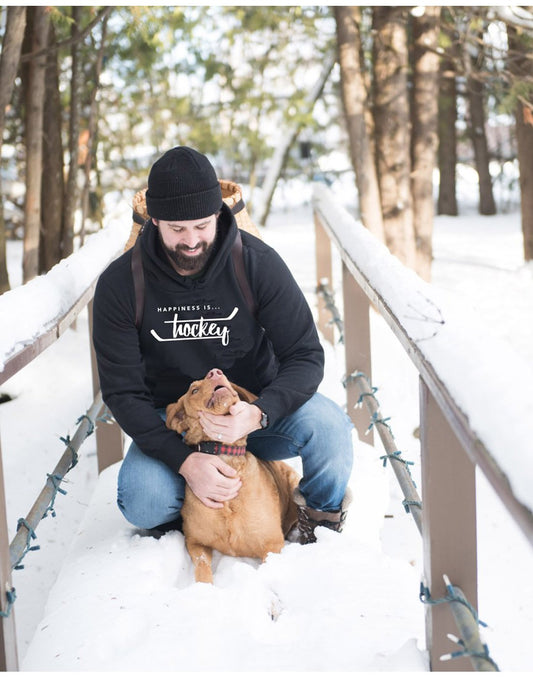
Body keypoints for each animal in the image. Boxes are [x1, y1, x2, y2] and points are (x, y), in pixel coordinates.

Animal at [165, 370, 300, 580]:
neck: (224, 455)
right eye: (194, 390)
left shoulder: (272, 545)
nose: (215, 372)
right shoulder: (195, 543)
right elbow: (202, 570)